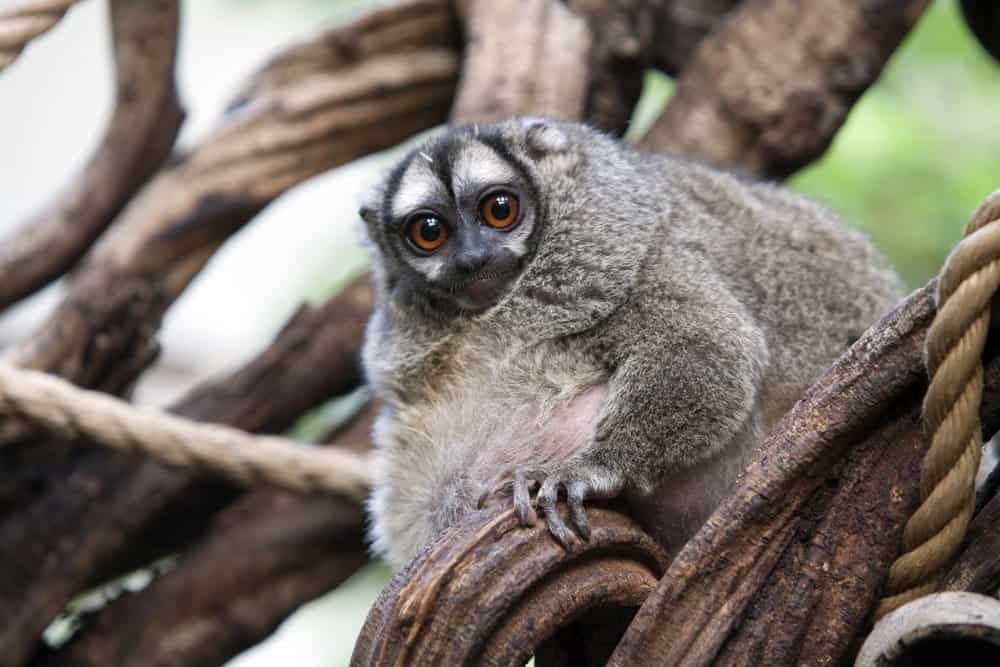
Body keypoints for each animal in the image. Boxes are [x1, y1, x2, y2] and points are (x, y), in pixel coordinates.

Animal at [362, 117, 908, 568]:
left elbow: (707, 342)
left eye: (500, 210)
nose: (472, 258)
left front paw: (594, 470)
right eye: (429, 232)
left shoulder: (627, 257)